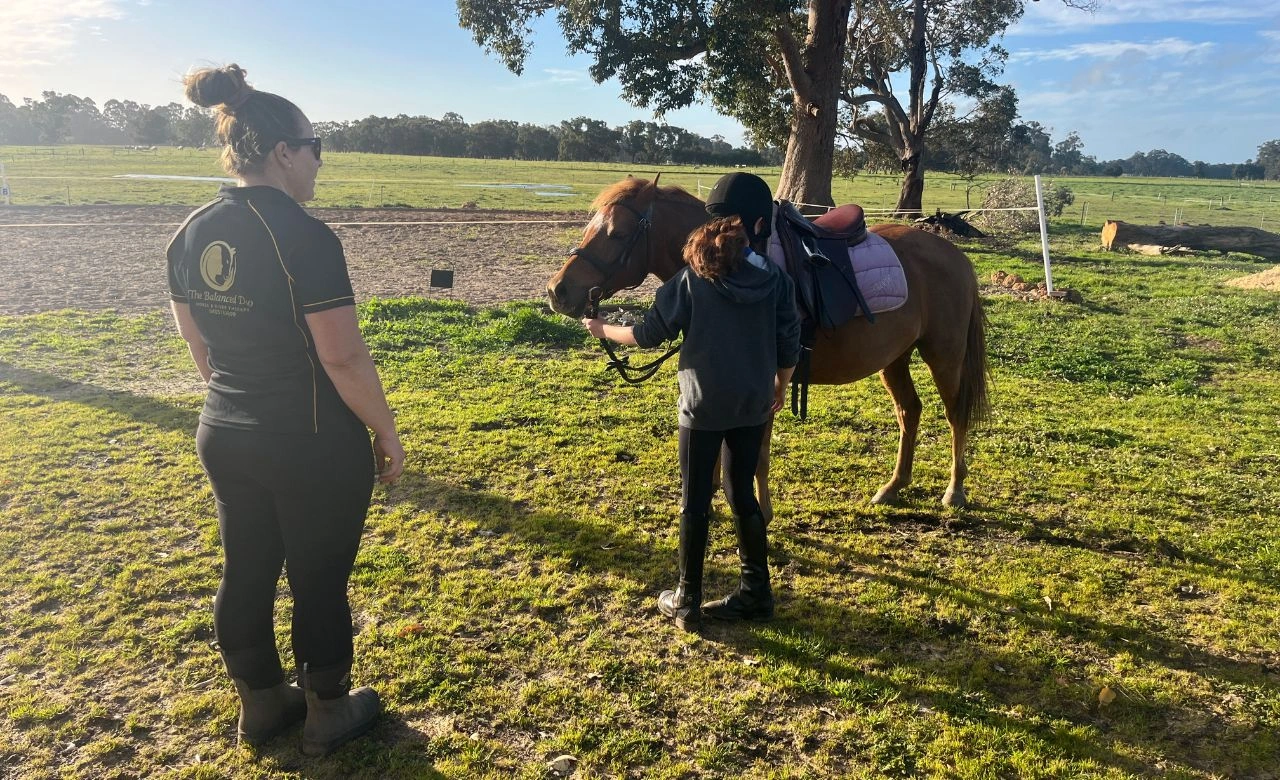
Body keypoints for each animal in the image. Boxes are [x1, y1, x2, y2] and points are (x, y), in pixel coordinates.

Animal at [547, 177, 989, 514]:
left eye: (617, 233)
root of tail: (953, 254)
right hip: (895, 357)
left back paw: (955, 491)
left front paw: (760, 510)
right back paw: (893, 487)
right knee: (909, 412)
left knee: (955, 414)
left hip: (944, 355)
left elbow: (756, 455)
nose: (557, 291)